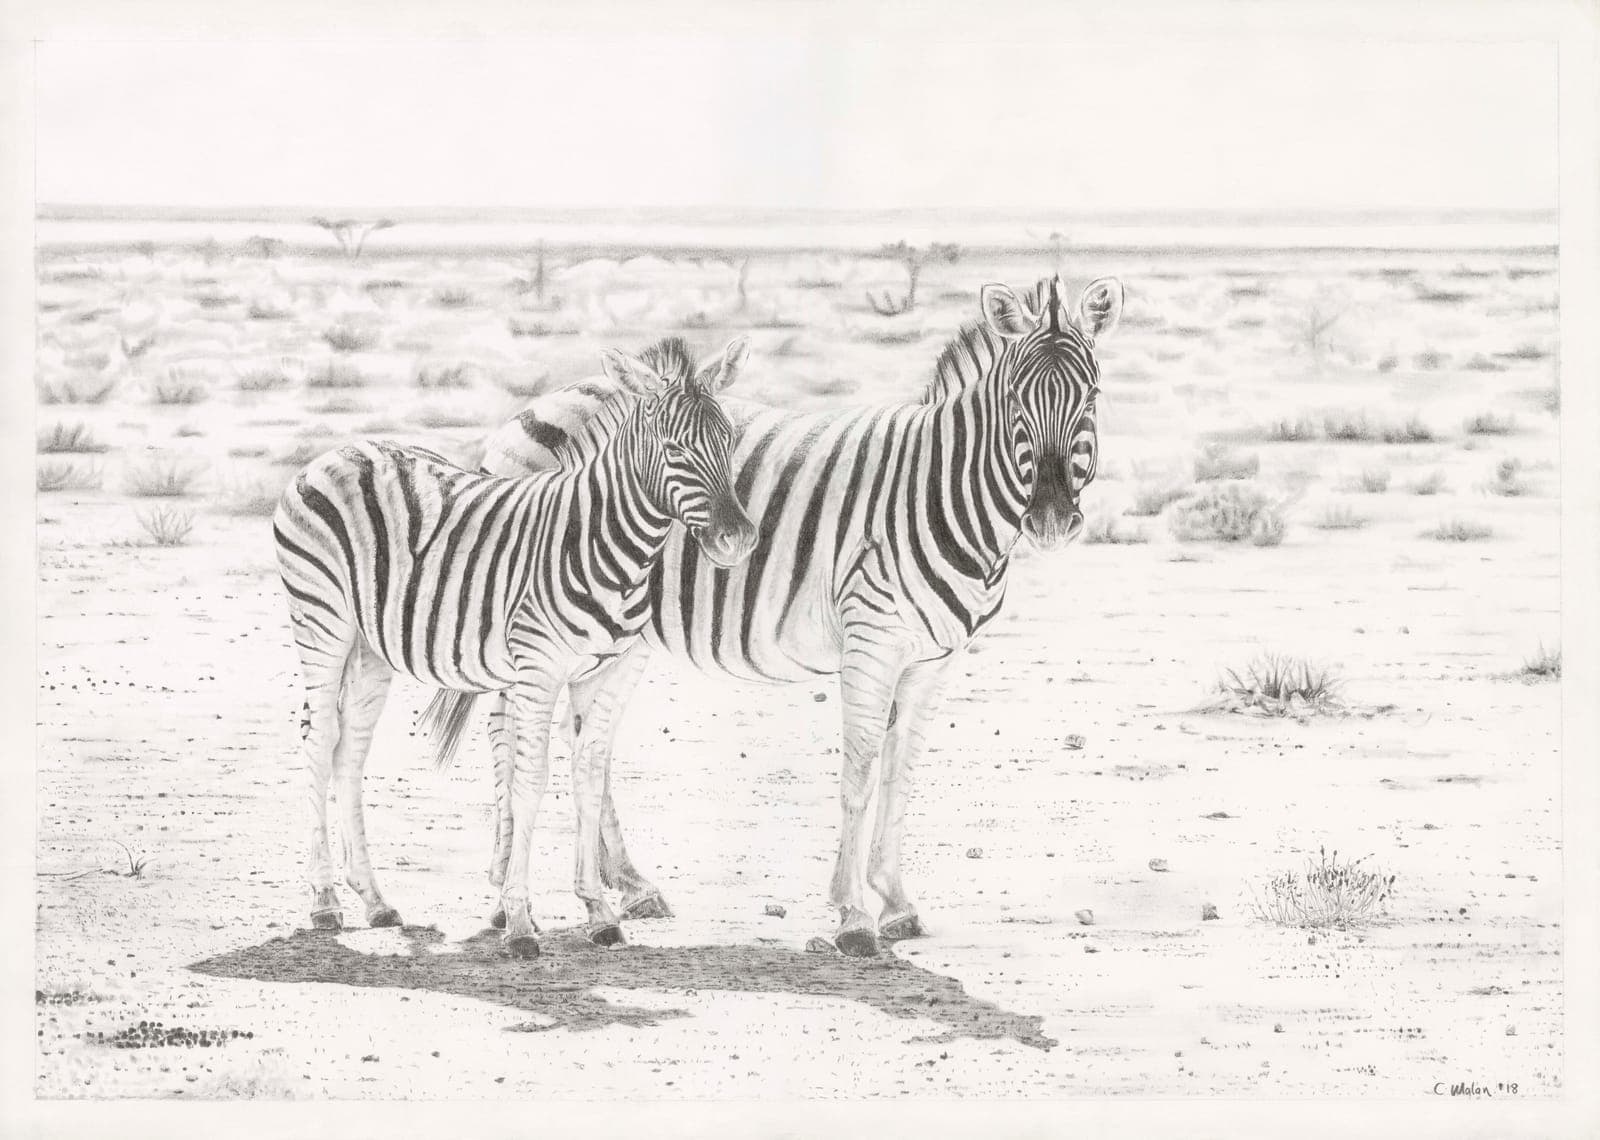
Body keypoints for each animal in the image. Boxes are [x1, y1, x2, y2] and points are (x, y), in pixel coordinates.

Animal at [273, 335, 757, 958]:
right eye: (674, 449)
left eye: (729, 441)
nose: (737, 538)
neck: (607, 542)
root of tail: (337, 450)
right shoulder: (538, 667)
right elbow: (530, 781)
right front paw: (521, 923)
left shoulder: (608, 671)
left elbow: (588, 776)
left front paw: (599, 911)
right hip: (321, 620)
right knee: (318, 743)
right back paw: (324, 901)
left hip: (370, 645)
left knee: (349, 750)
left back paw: (375, 901)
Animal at [425, 273, 1123, 956]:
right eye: (1017, 402)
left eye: (1090, 397)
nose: (1051, 519)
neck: (942, 492)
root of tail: (538, 404)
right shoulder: (871, 640)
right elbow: (860, 769)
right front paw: (853, 917)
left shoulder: (935, 660)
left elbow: (900, 773)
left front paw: (897, 903)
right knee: (506, 731)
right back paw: (506, 901)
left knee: (576, 740)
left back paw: (627, 888)